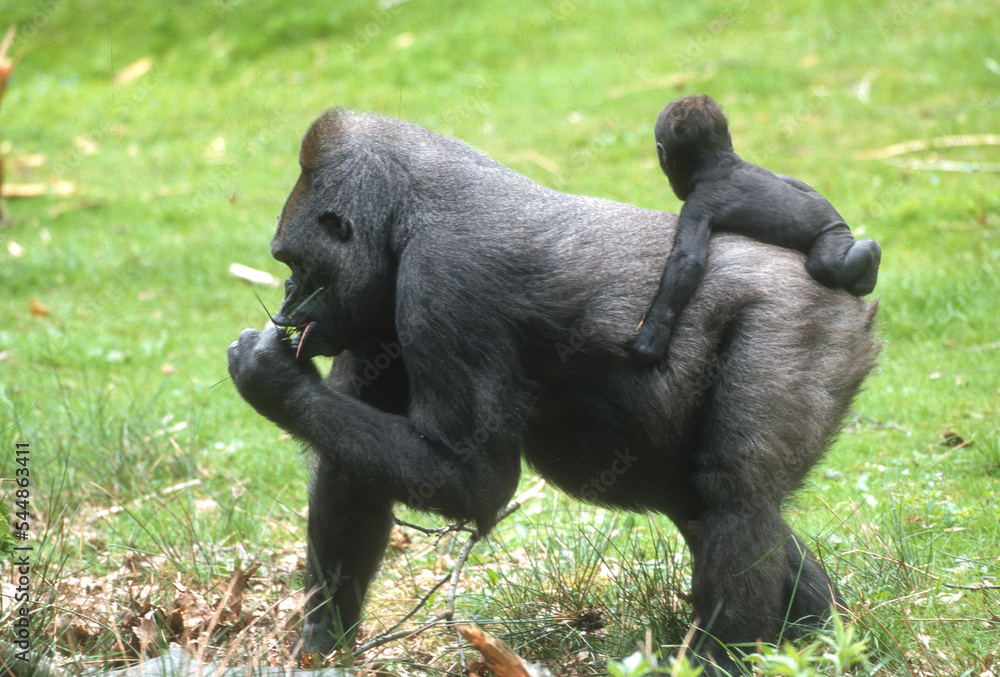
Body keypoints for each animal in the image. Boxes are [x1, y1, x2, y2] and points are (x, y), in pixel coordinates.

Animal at [630, 94, 881, 365]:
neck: (720, 161)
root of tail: (841, 224)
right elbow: (783, 178)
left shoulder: (697, 205)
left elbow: (687, 261)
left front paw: (652, 334)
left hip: (833, 235)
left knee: (826, 266)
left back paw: (871, 255)